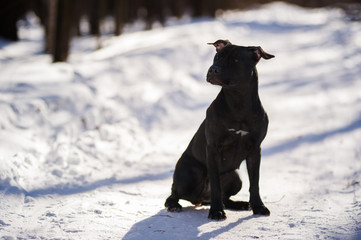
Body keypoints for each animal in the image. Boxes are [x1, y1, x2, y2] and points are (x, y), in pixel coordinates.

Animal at [165, 41, 274, 219]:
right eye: (217, 57)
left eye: (236, 60)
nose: (213, 69)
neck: (238, 101)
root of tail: (201, 199)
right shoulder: (213, 149)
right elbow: (216, 184)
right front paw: (216, 211)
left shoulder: (255, 150)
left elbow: (255, 183)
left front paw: (258, 207)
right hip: (190, 173)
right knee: (173, 193)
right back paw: (174, 205)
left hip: (235, 178)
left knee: (226, 197)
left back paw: (239, 204)